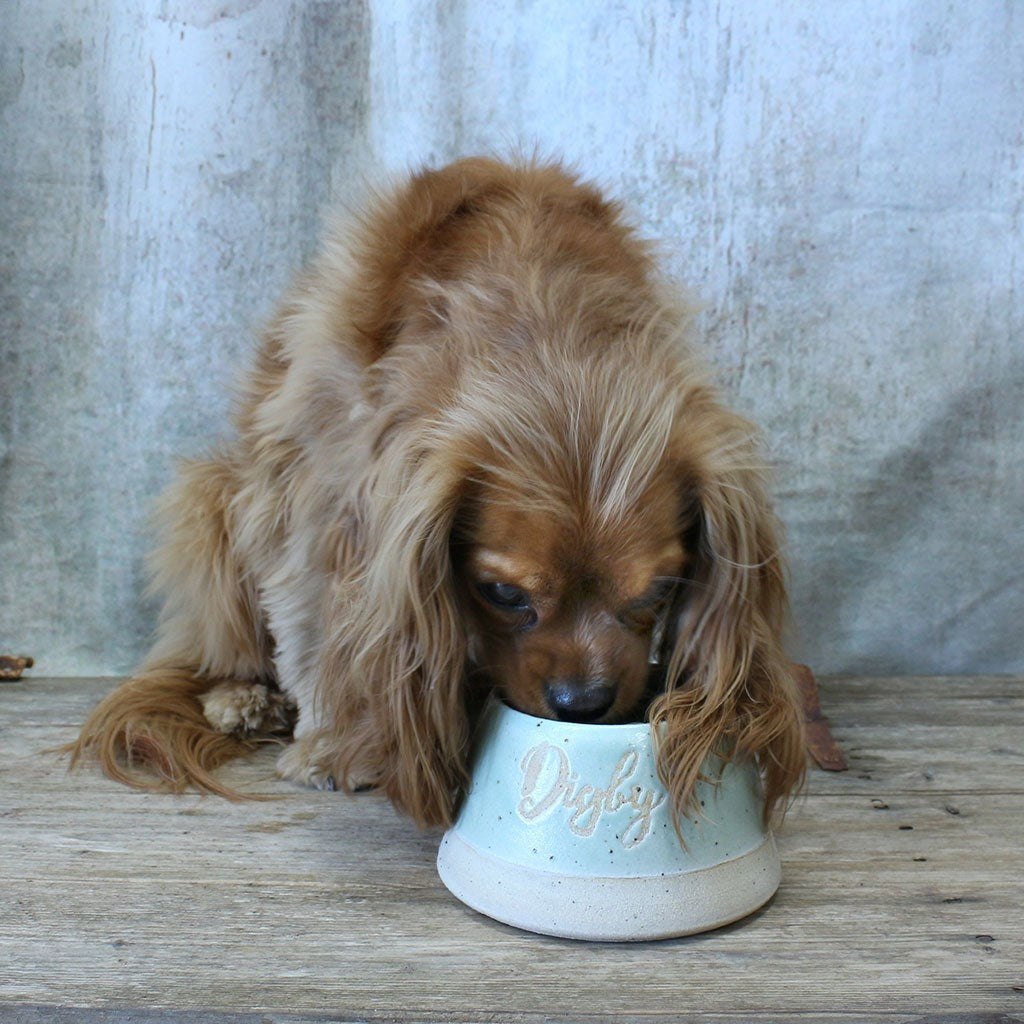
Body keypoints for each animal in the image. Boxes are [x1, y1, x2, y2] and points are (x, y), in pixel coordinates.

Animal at [72, 159, 806, 831]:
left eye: (659, 591)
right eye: (504, 593)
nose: (583, 704)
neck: (545, 317)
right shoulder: (316, 498)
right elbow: (312, 624)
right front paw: (333, 743)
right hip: (213, 497)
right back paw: (243, 698)